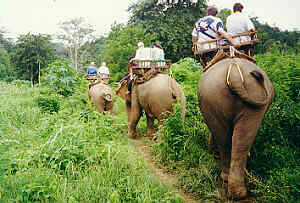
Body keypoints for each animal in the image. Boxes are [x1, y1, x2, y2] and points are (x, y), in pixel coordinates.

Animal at [197, 58, 274, 199]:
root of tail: (234, 72)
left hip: (213, 98)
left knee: (226, 139)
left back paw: (232, 186)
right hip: (253, 99)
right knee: (240, 140)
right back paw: (238, 191)